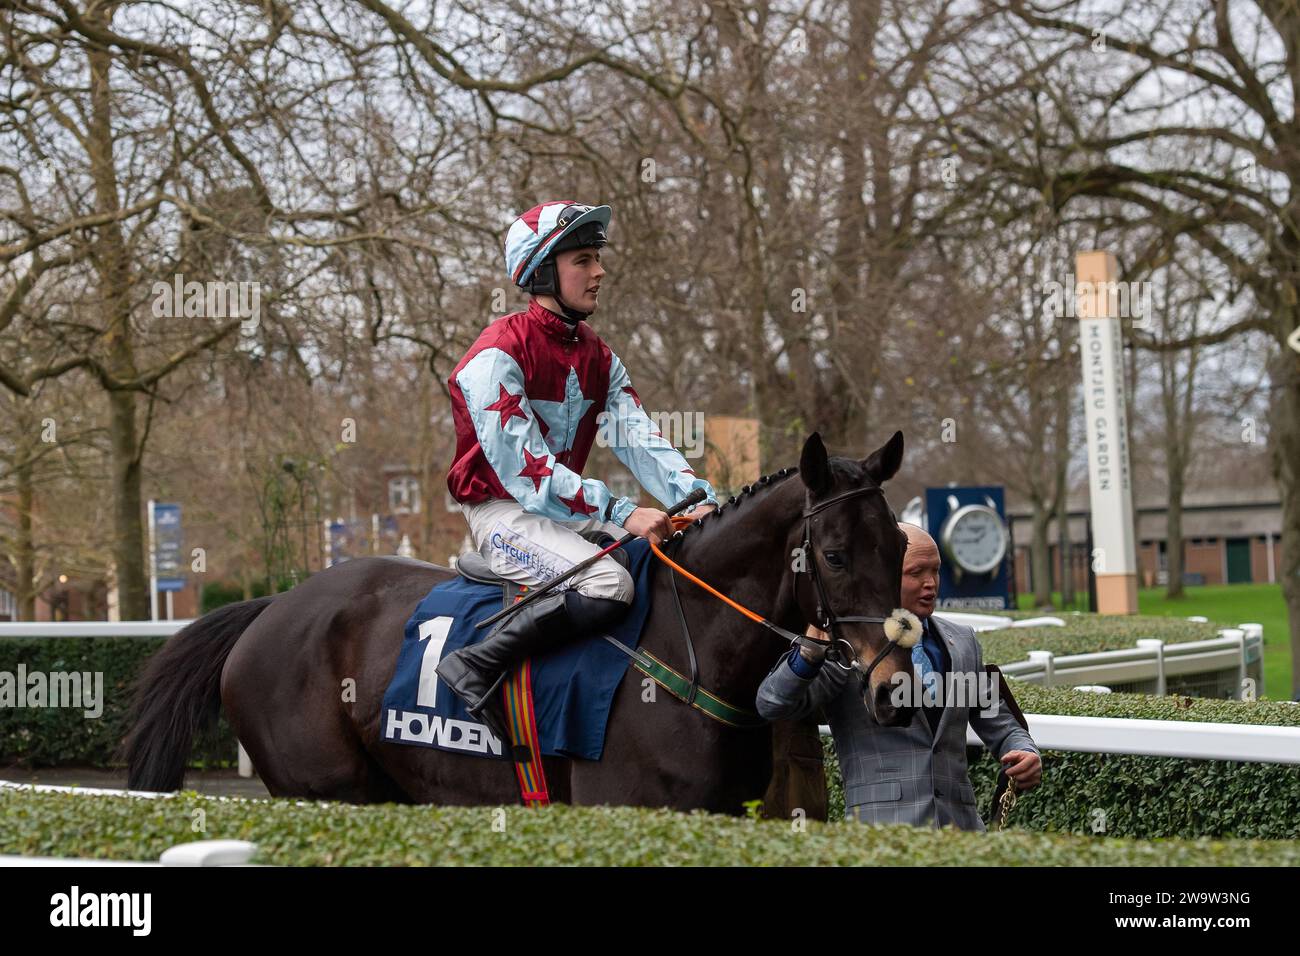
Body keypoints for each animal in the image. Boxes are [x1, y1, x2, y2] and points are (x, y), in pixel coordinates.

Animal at [126, 434, 909, 816]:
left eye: (901, 548)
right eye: (835, 555)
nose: (894, 688)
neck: (684, 651)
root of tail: (272, 606)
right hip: (325, 790)